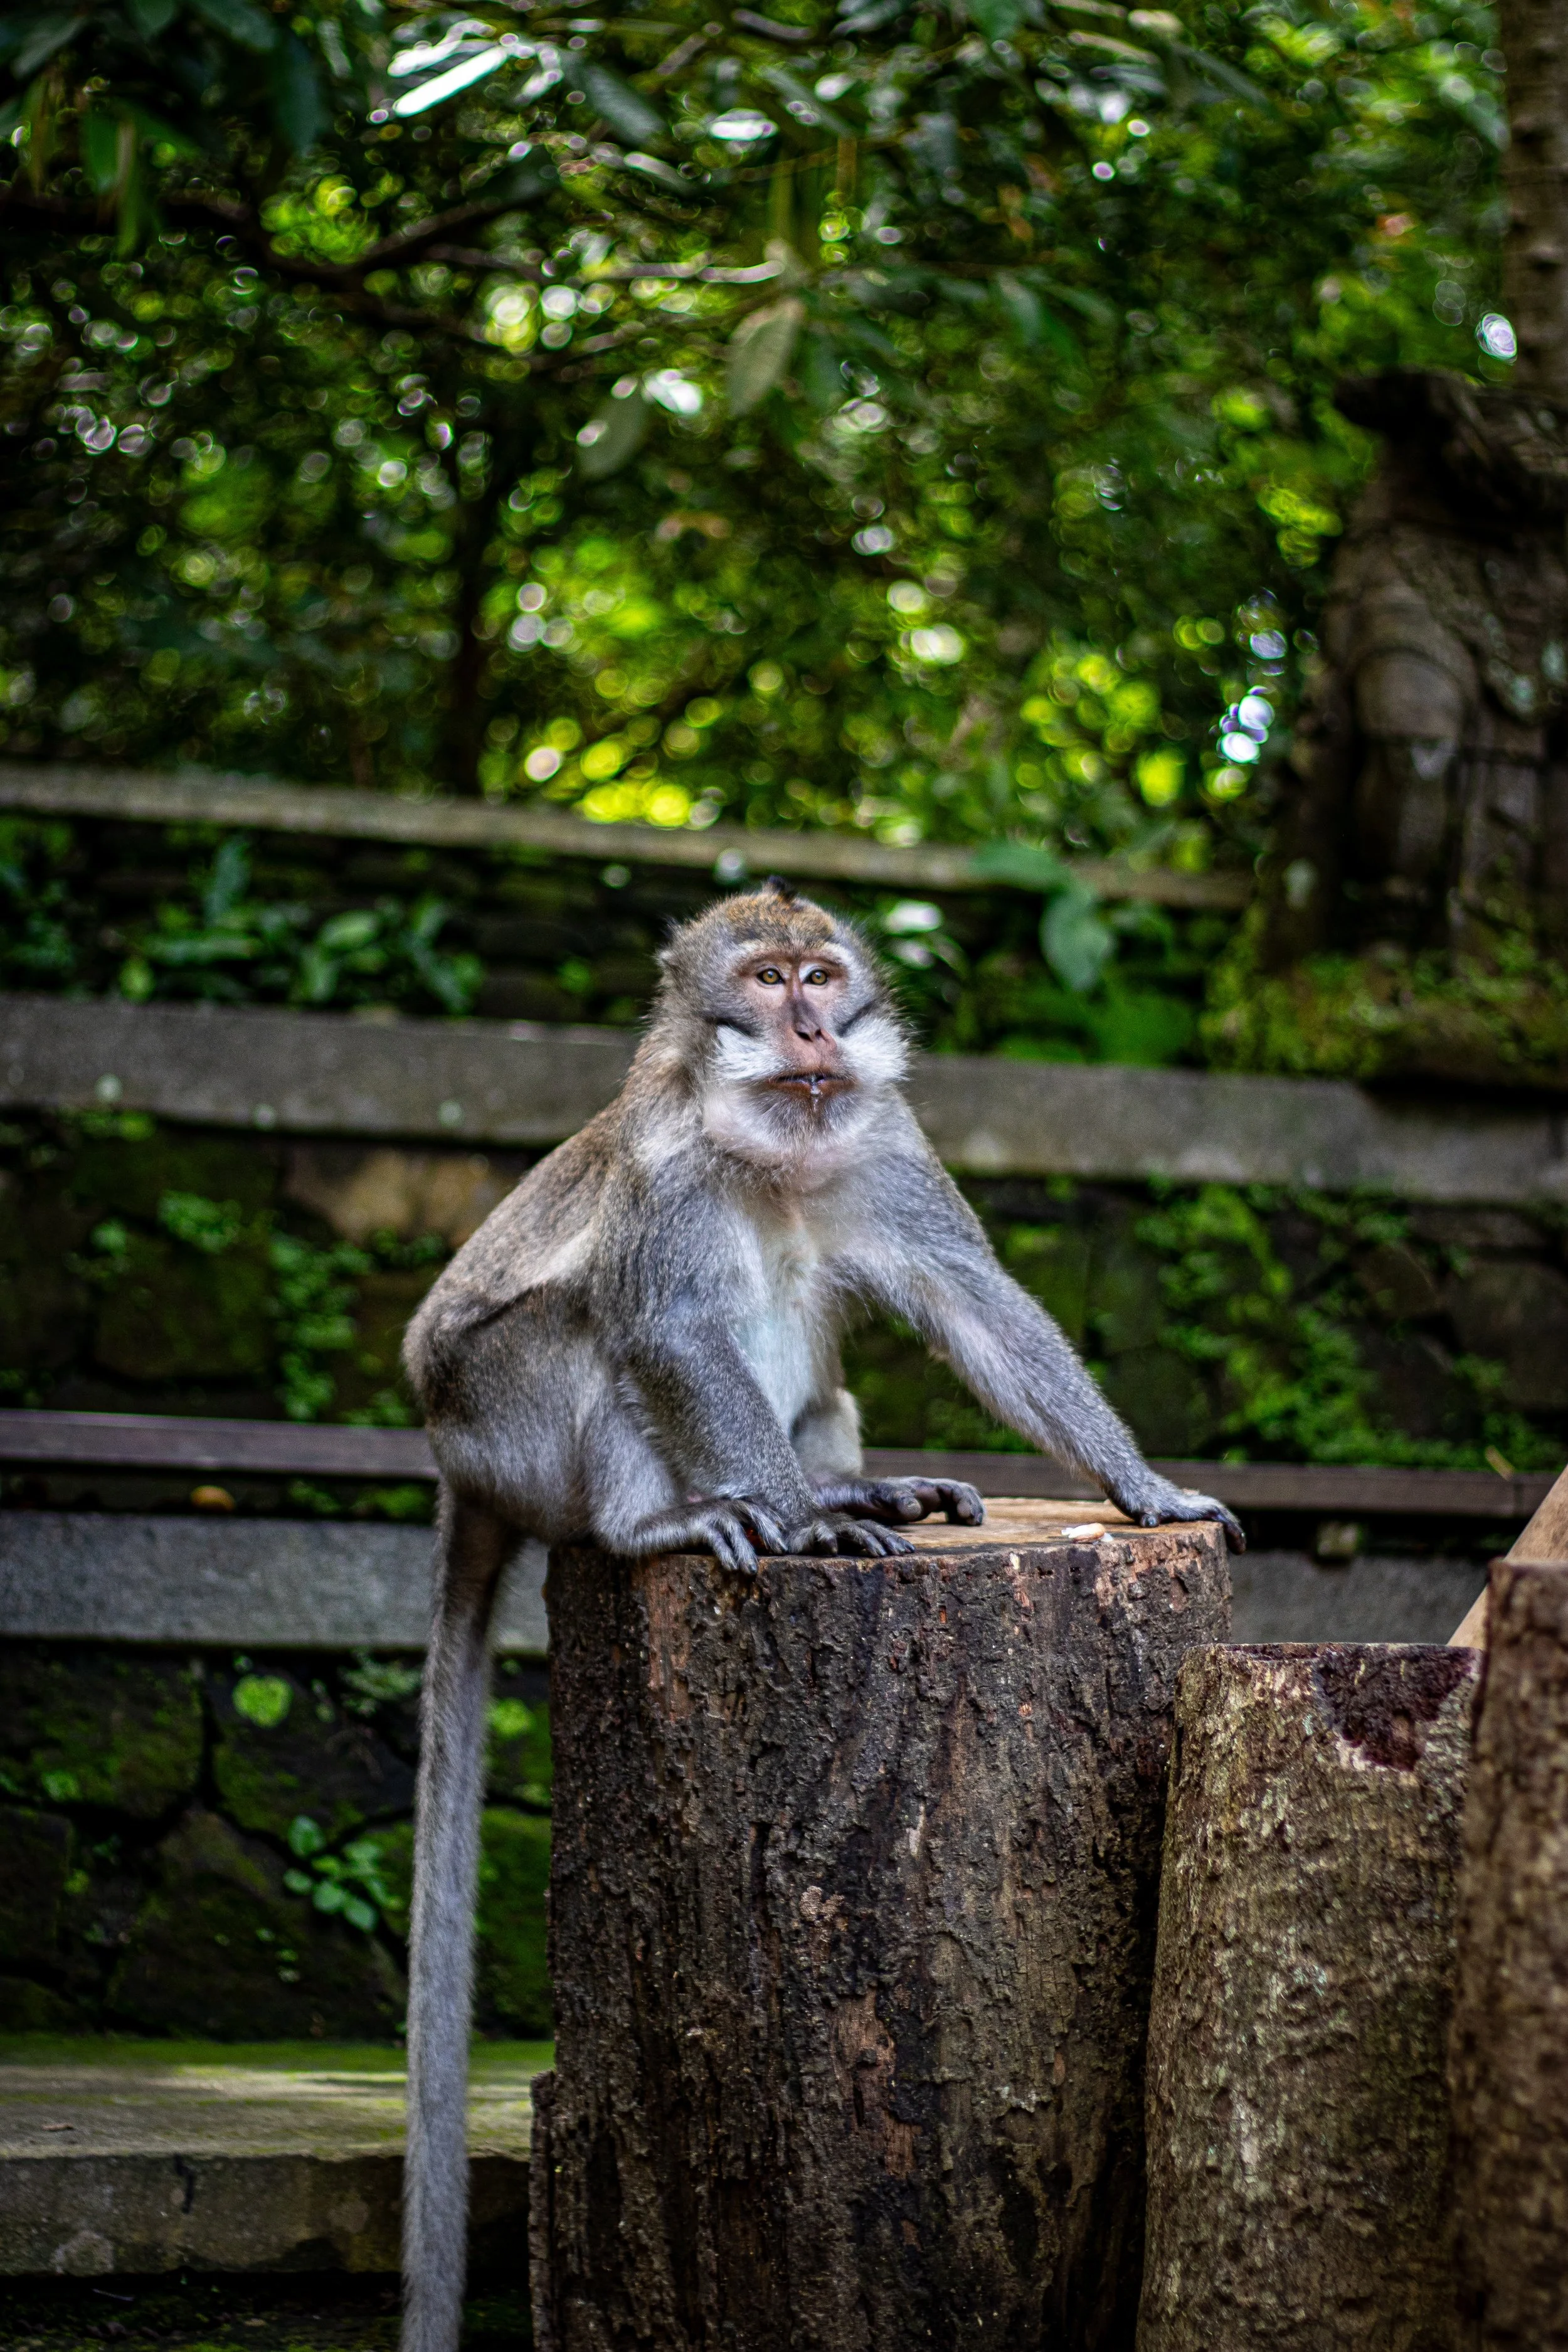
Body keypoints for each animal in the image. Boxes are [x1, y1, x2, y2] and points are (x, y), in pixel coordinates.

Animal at [396, 879, 1243, 2352]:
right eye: (762, 978)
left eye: (820, 975)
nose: (806, 1026)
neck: (775, 1152)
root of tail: (459, 1473)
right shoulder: (668, 1176)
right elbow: (670, 1328)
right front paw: (802, 1530)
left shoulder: (890, 1146)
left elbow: (981, 1307)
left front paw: (1140, 1485)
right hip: (501, 1425)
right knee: (606, 1331)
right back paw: (675, 1523)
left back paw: (849, 1481)